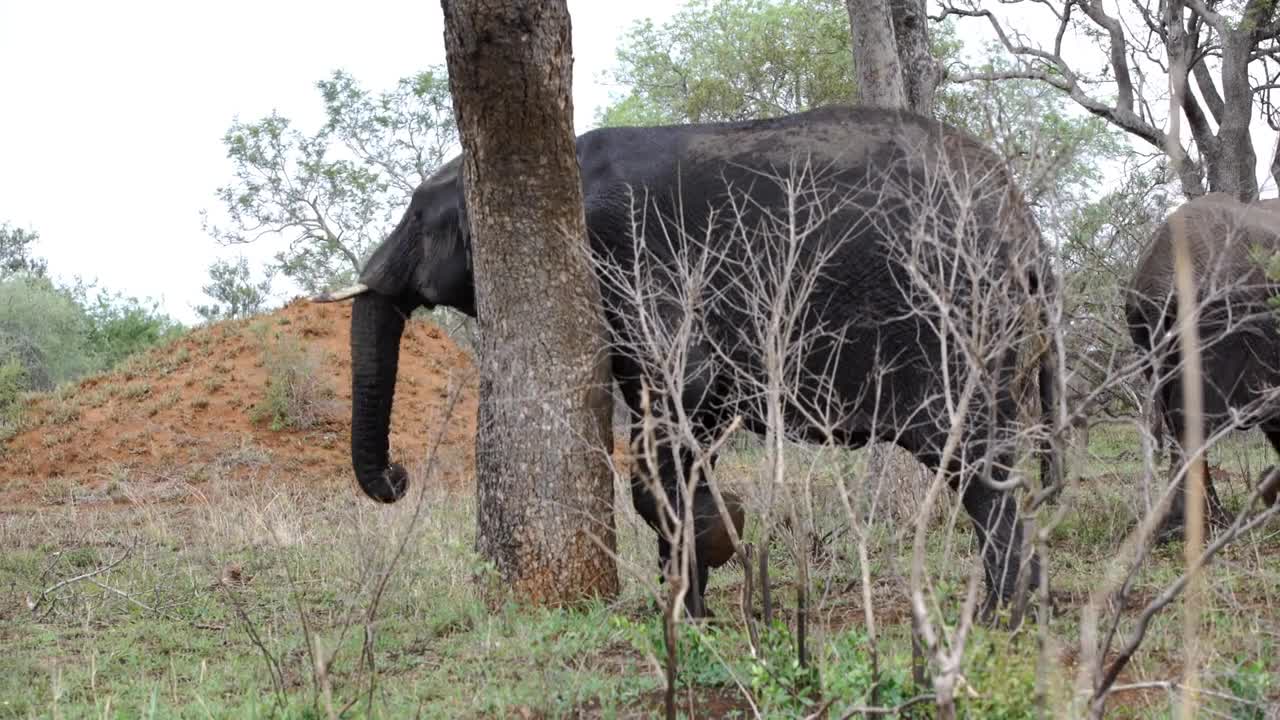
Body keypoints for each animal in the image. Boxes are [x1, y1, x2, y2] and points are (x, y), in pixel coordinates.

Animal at [322, 106, 1059, 617]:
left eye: (418, 216)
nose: (397, 476)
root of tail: (1027, 225)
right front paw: (703, 577)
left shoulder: (634, 260)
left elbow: (683, 403)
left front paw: (699, 583)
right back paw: (1020, 610)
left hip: (956, 318)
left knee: (973, 466)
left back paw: (1001, 621)